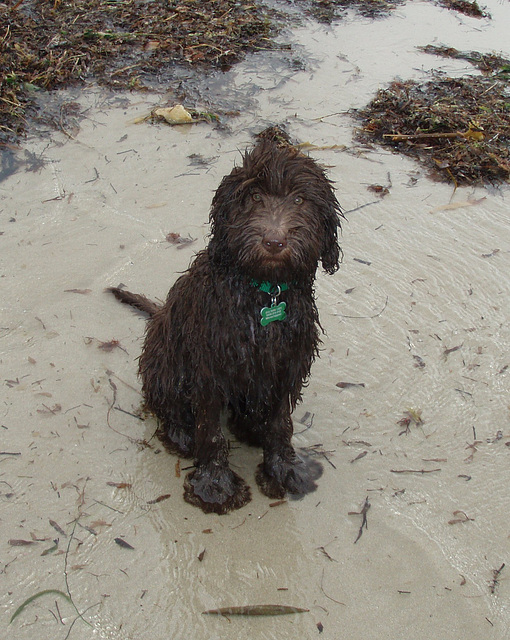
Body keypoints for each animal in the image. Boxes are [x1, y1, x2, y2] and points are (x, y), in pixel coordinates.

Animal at [109, 136, 340, 516]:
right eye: (254, 197)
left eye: (299, 199)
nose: (274, 242)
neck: (264, 291)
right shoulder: (210, 366)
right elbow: (211, 430)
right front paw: (214, 486)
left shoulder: (288, 362)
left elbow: (281, 422)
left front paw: (284, 469)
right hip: (167, 359)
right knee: (166, 403)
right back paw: (181, 434)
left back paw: (251, 428)